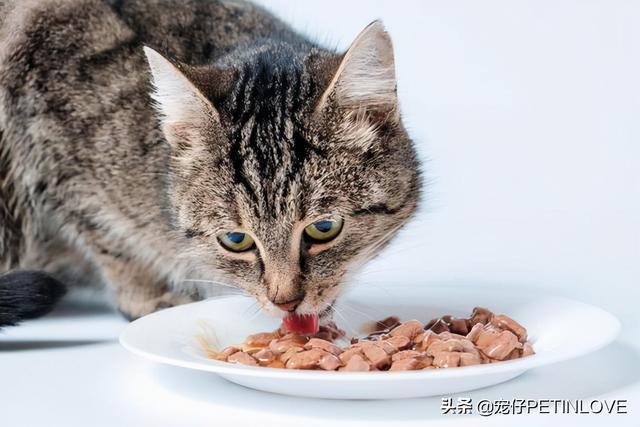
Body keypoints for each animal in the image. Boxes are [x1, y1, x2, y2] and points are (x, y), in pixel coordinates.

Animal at [0, 0, 420, 328]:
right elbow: (109, 239)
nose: (285, 302)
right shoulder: (55, 155)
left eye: (324, 229)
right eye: (235, 240)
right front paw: (148, 296)